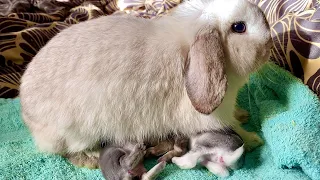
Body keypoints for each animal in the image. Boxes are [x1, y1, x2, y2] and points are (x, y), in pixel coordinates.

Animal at [19, 0, 270, 167]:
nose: (269, 42)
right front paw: (254, 139)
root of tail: (28, 117)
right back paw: (91, 158)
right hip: (77, 132)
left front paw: (243, 114)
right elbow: (235, 129)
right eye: (239, 27)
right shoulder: (214, 117)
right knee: (66, 152)